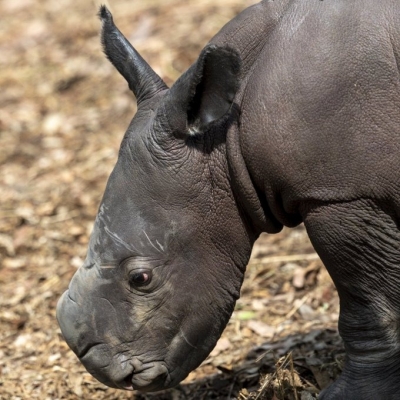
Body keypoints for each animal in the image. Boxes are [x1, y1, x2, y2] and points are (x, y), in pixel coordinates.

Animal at [57, 1, 400, 398]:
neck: (223, 140)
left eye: (141, 278)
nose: (102, 370)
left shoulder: (339, 193)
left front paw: (351, 393)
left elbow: (370, 307)